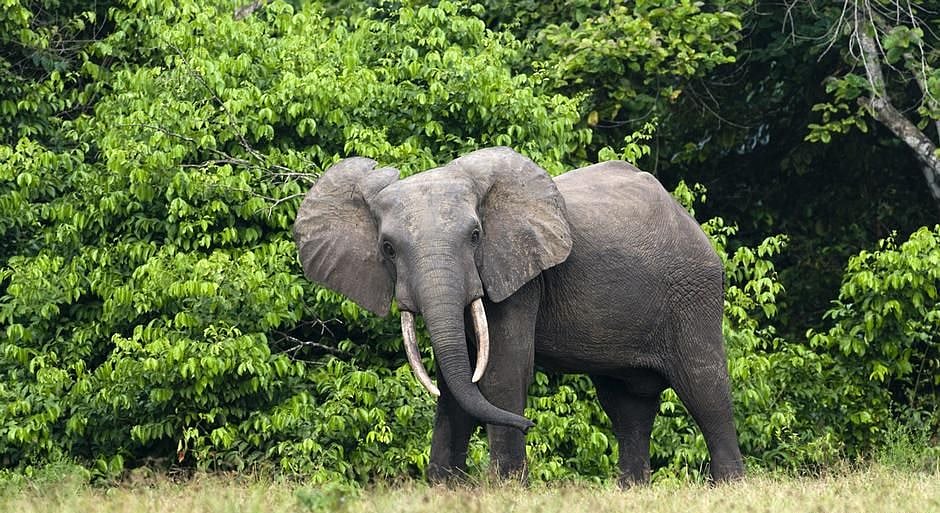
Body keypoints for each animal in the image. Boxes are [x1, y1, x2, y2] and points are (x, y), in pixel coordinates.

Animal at [292, 147, 745, 485]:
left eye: (476, 236)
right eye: (387, 248)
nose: (529, 425)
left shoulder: (519, 276)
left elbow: (501, 372)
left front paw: (506, 486)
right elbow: (458, 381)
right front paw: (444, 489)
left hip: (693, 292)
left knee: (704, 387)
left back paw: (728, 486)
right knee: (626, 404)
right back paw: (632, 491)